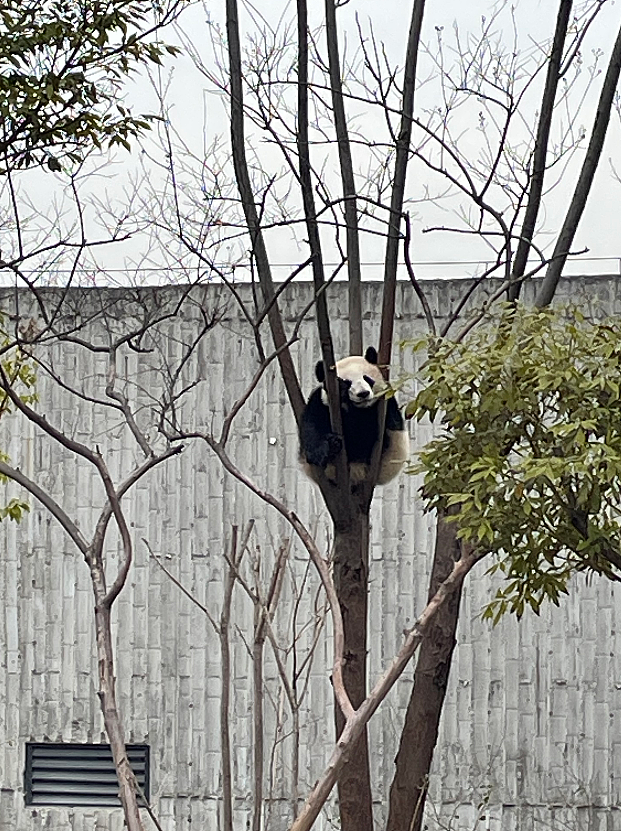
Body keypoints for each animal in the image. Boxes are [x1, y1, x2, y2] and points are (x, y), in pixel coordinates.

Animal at [300, 346, 410, 488]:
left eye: (366, 378)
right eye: (347, 382)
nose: (363, 393)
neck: (356, 409)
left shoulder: (383, 406)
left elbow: (363, 432)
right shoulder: (320, 402)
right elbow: (312, 425)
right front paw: (321, 451)